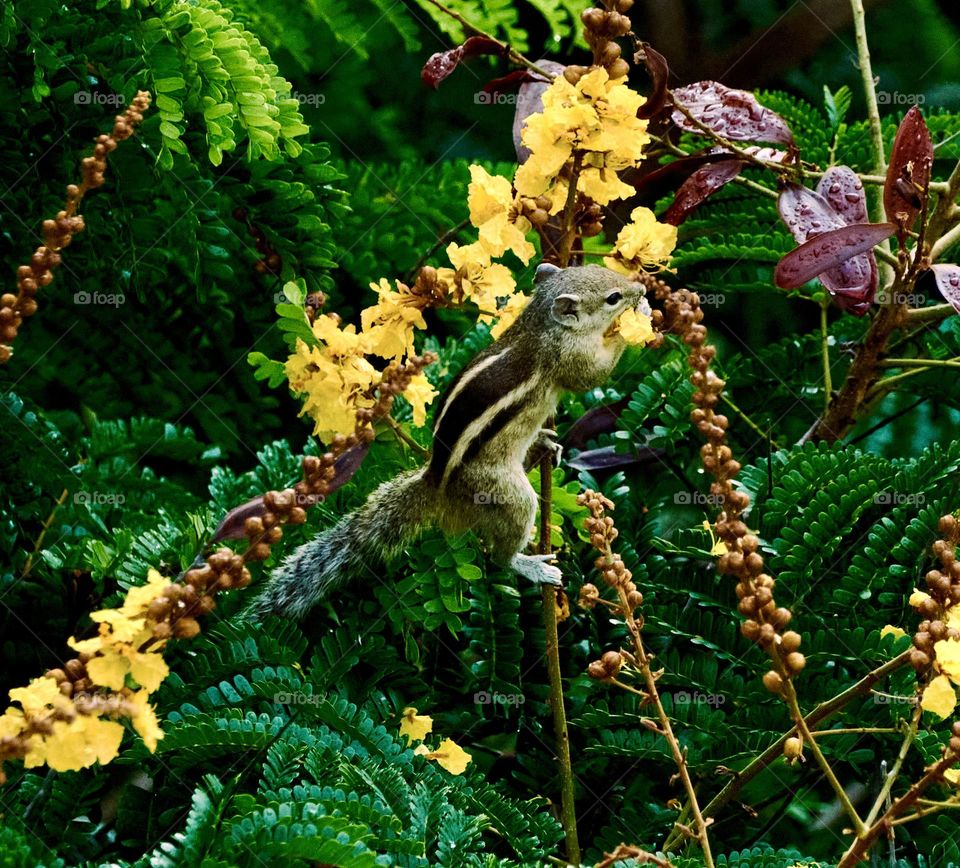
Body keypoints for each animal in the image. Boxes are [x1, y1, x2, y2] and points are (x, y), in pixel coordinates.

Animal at [246, 263, 649, 621]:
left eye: (604, 271)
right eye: (613, 297)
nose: (640, 289)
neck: (540, 325)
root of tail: (437, 482)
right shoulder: (569, 358)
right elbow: (593, 374)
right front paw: (634, 322)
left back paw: (543, 443)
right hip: (502, 491)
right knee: (500, 552)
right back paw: (528, 565)